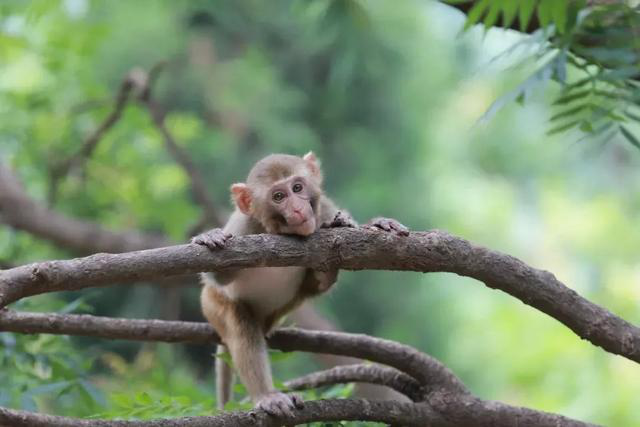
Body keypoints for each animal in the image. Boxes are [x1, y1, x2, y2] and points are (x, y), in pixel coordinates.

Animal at [192, 153, 408, 418]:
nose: (297, 208)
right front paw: (209, 236)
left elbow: (322, 277)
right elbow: (220, 277)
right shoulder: (242, 227)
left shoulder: (325, 210)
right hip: (212, 303)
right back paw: (267, 395)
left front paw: (377, 224)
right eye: (278, 197)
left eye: (297, 188)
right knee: (241, 327)